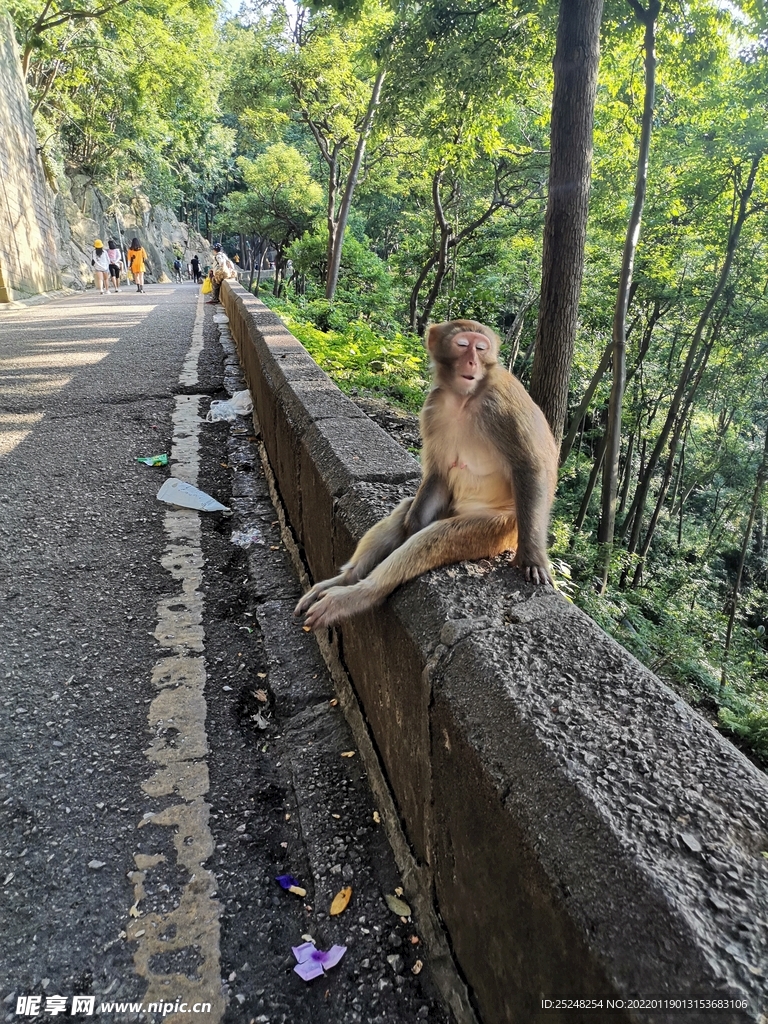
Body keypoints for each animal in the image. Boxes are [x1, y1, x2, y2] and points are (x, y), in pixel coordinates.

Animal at [294, 317, 561, 630]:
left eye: (481, 348)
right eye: (462, 344)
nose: (472, 361)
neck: (464, 398)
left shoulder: (503, 400)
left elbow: (529, 467)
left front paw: (533, 558)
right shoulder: (434, 407)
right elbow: (438, 472)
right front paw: (412, 524)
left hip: (501, 527)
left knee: (439, 536)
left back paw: (359, 594)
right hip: (451, 507)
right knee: (407, 511)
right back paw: (345, 579)